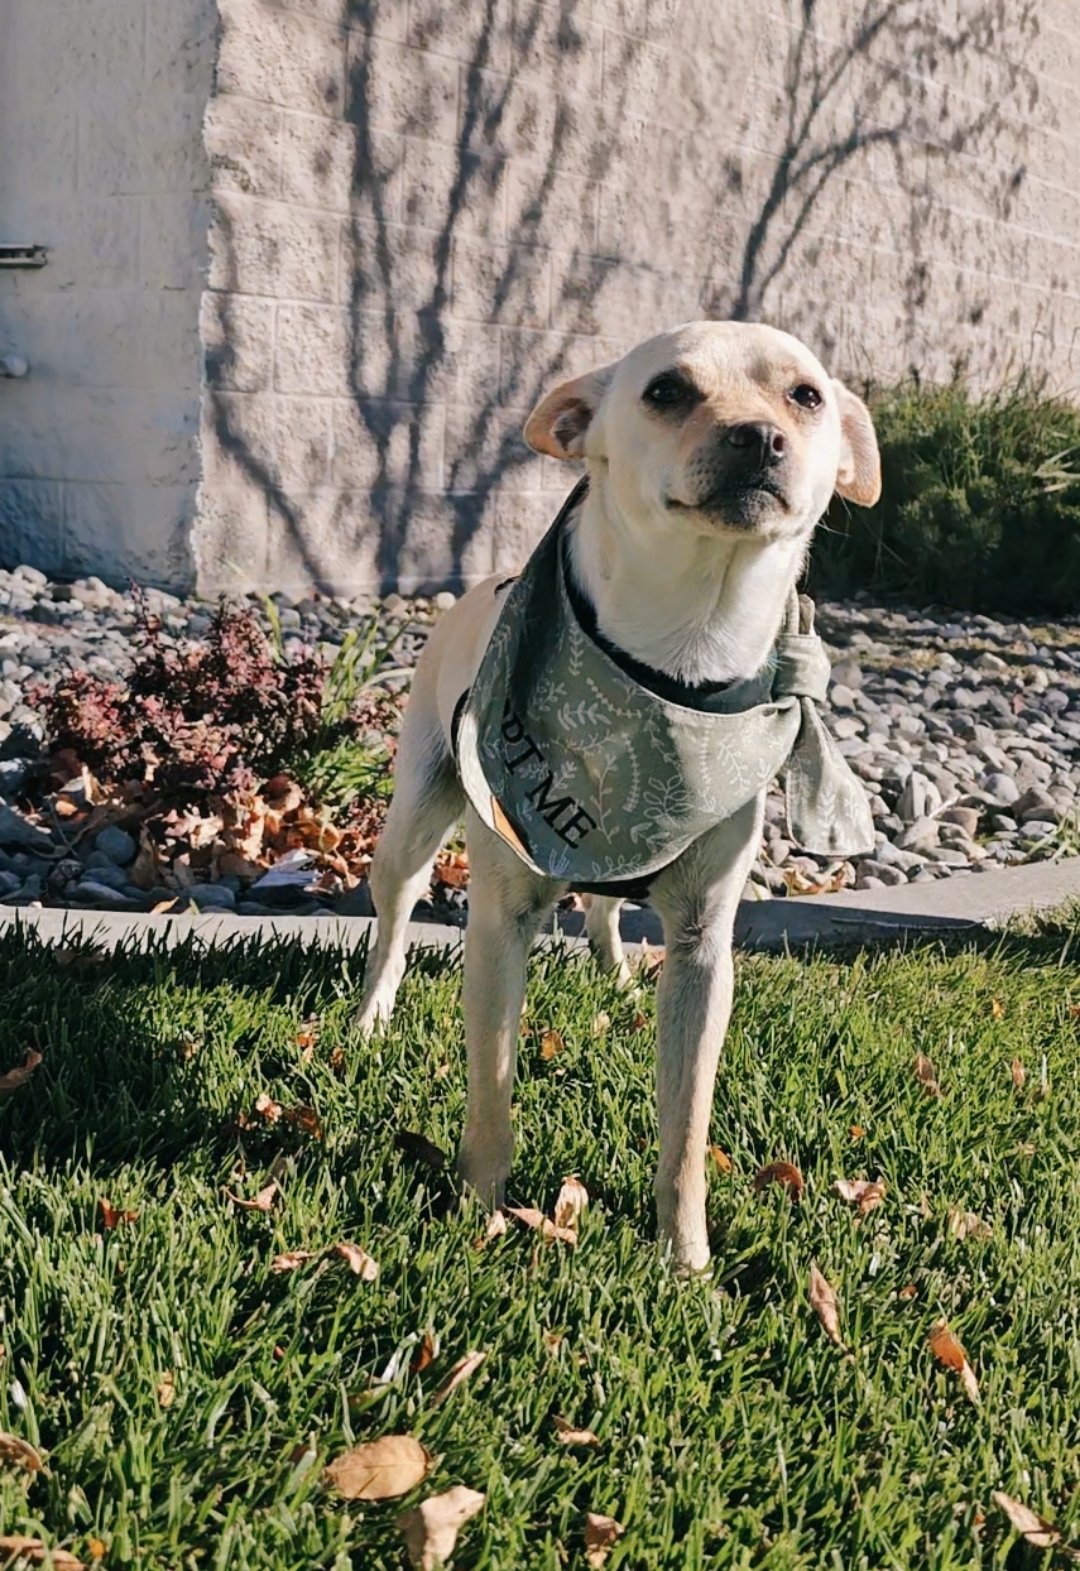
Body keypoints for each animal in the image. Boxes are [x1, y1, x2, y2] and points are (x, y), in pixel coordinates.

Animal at [358, 322, 880, 1275]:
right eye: (666, 391)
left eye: (807, 396)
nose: (759, 436)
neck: (684, 653)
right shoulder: (501, 922)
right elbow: (491, 1089)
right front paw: (482, 1215)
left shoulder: (707, 948)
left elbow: (686, 1128)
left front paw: (686, 1260)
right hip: (414, 817)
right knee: (395, 915)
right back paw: (371, 1013)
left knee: (606, 907)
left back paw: (621, 976)